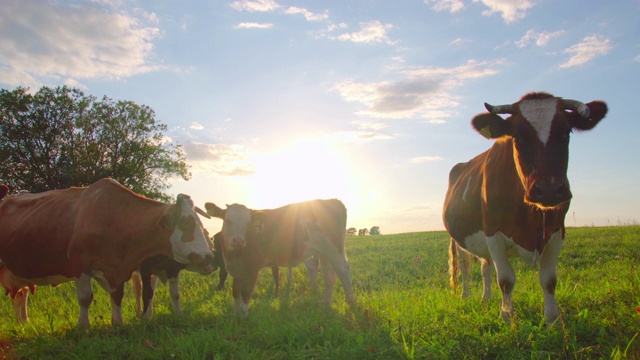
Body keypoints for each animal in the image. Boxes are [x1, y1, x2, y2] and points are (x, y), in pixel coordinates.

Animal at [0, 179, 215, 328]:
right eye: (186, 223)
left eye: (202, 225)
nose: (210, 257)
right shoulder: (80, 263)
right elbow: (85, 297)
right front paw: (83, 326)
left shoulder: (119, 267)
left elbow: (119, 295)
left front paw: (117, 322)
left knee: (21, 296)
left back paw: (23, 323)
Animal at [205, 200, 356, 318]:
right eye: (227, 220)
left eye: (248, 223)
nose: (239, 240)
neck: (234, 255)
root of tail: (333, 201)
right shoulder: (236, 269)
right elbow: (236, 292)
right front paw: (234, 314)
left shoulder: (253, 266)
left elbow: (246, 292)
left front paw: (244, 315)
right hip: (324, 252)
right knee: (329, 276)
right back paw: (326, 304)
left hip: (334, 250)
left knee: (343, 271)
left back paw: (351, 303)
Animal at [442, 92, 608, 324]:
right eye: (518, 137)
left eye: (566, 133)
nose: (548, 190)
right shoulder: (493, 232)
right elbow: (506, 280)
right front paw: (507, 316)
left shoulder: (557, 231)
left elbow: (549, 279)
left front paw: (552, 318)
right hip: (459, 239)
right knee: (465, 266)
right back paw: (466, 296)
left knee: (485, 267)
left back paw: (486, 298)